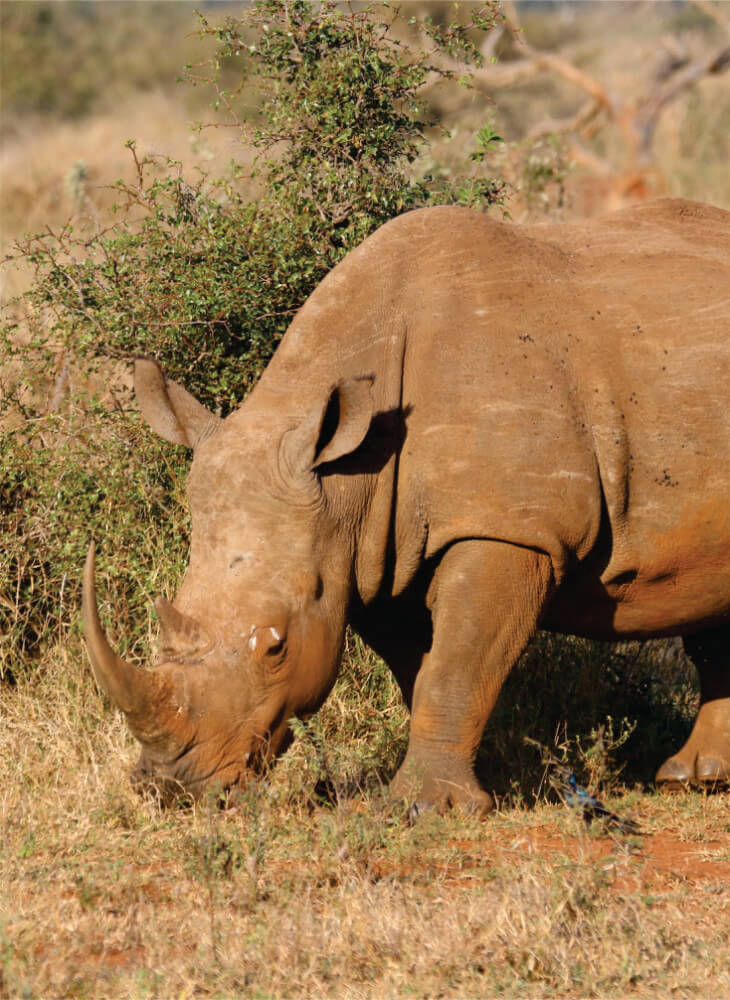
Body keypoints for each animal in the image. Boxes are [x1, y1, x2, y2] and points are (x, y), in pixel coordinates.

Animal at [84, 201, 728, 812]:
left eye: (276, 647)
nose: (171, 787)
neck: (347, 479)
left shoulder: (509, 527)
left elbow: (456, 664)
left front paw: (423, 806)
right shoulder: (369, 554)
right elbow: (424, 670)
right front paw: (464, 783)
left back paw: (691, 779)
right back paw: (695, 779)